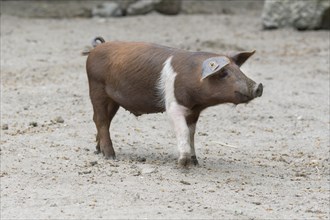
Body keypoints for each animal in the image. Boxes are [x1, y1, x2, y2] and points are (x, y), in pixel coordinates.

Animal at [82, 36, 262, 167]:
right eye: (224, 73)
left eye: (239, 69)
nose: (258, 86)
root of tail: (96, 48)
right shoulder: (173, 106)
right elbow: (182, 130)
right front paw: (183, 163)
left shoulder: (194, 111)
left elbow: (191, 133)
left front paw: (196, 162)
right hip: (96, 87)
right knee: (100, 119)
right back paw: (111, 156)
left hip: (113, 99)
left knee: (105, 120)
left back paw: (99, 151)